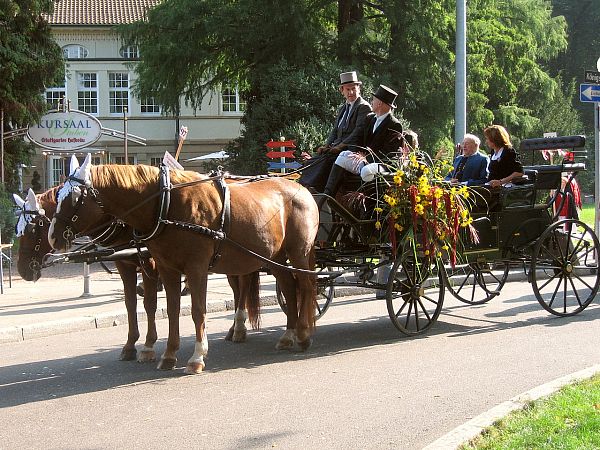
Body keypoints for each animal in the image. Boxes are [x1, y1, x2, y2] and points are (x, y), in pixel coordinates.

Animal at [48, 158, 318, 372]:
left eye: (74, 197)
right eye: (58, 195)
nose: (53, 237)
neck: (166, 204)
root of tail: (301, 188)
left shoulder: (194, 268)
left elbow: (197, 310)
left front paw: (196, 356)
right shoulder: (166, 268)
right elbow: (170, 308)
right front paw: (168, 354)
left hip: (298, 253)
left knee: (305, 286)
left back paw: (304, 334)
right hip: (275, 258)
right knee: (288, 287)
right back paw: (288, 334)